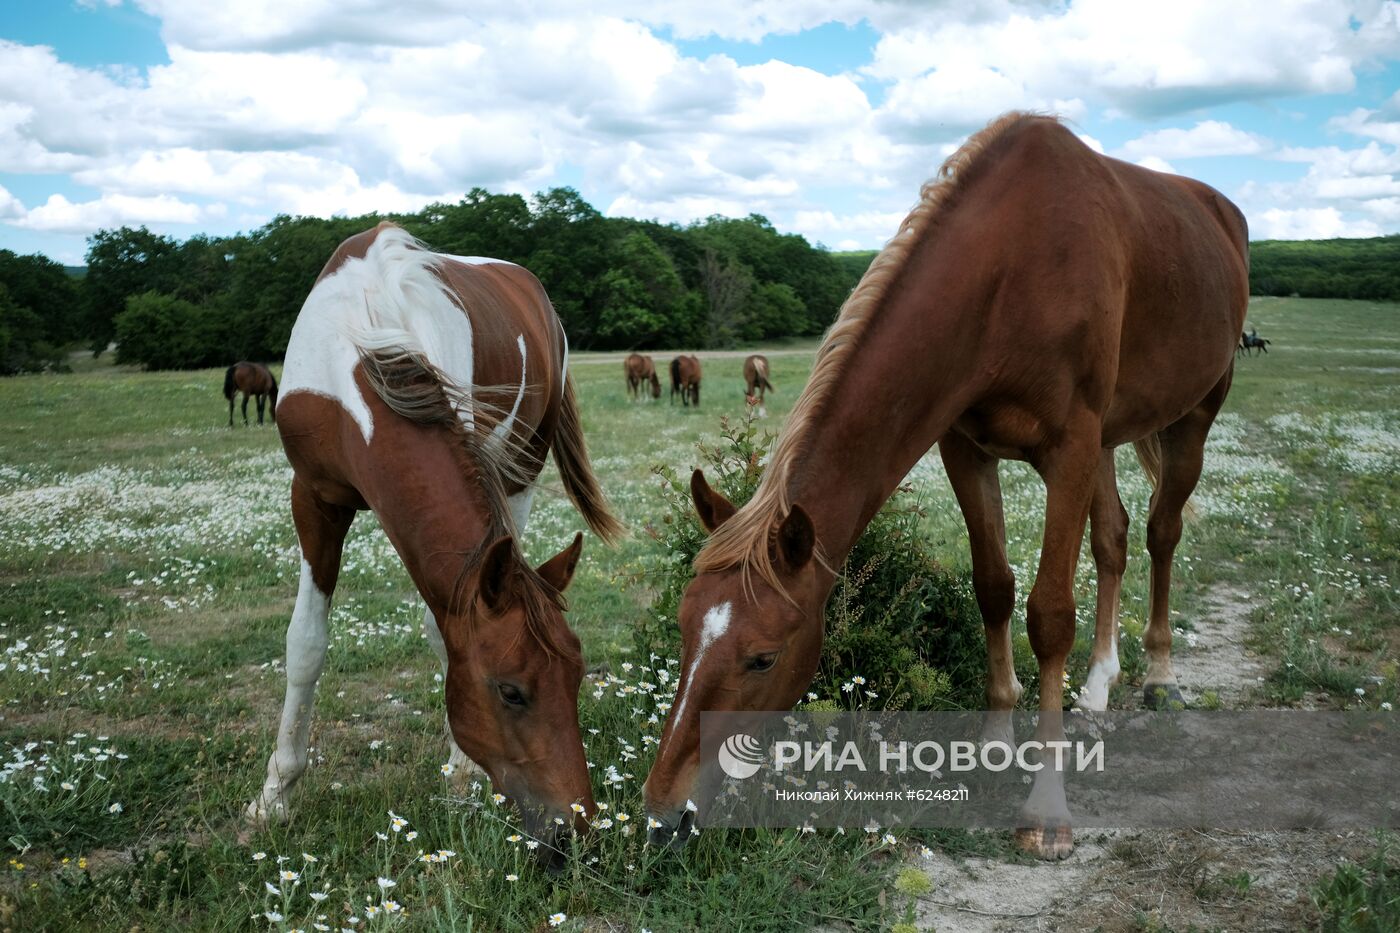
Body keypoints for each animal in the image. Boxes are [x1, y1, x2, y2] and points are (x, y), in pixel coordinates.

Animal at [247, 221, 624, 862]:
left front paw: (460, 778)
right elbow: (305, 644)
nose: (572, 830)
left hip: (521, 472)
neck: (361, 352)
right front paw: (276, 795)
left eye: (578, 677)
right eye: (511, 692)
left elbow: (444, 632)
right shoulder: (313, 498)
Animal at [641, 114, 1248, 857]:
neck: (1011, 268)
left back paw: (1159, 677)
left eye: (762, 658)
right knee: (1114, 539)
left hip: (1194, 413)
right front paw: (992, 743)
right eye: (683, 627)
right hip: (1109, 440)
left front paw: (1046, 810)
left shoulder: (1069, 449)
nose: (662, 815)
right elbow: (993, 588)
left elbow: (1050, 616)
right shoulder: (967, 448)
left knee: (1163, 532)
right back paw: (1099, 690)